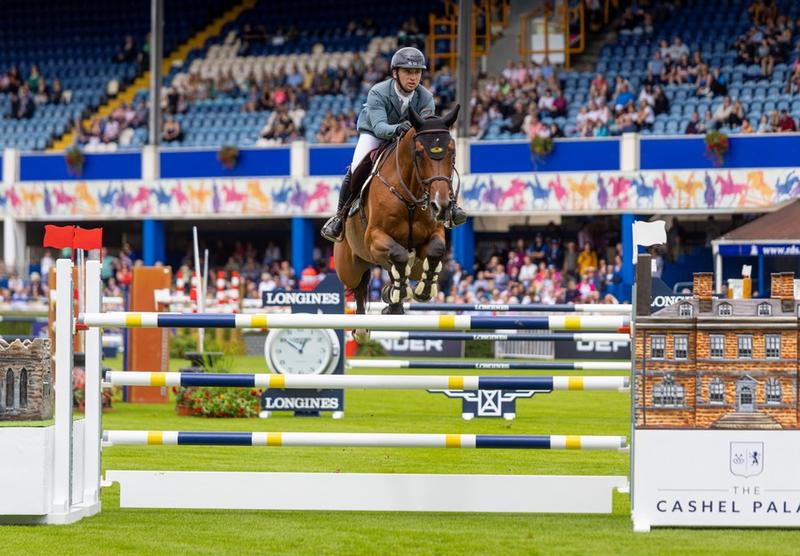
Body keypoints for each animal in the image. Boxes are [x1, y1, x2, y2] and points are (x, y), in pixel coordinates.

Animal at [334, 105, 460, 322]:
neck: (410, 197)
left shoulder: (433, 234)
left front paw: (423, 290)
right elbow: (399, 254)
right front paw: (398, 291)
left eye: (452, 151)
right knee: (358, 289)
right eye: (419, 153)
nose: (440, 205)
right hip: (349, 267)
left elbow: (436, 250)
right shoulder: (374, 237)